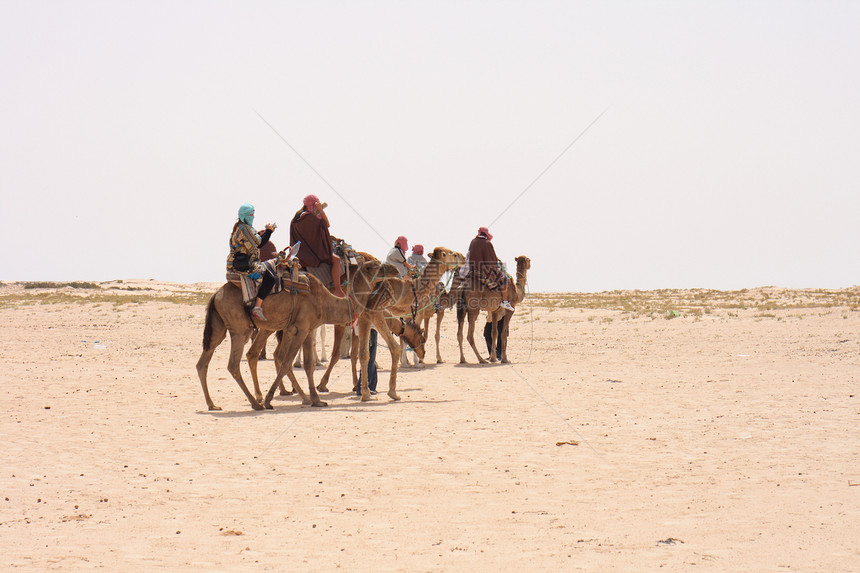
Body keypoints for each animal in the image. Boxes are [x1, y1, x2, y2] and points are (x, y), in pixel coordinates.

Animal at [197, 256, 394, 412]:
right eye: (376, 266)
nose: (394, 269)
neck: (324, 302)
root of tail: (215, 295)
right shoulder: (302, 328)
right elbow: (286, 363)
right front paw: (269, 400)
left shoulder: (307, 329)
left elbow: (308, 365)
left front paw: (316, 400)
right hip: (240, 329)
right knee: (234, 364)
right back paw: (256, 403)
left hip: (220, 327)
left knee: (203, 362)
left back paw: (212, 404)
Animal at [316, 247, 464, 402]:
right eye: (453, 254)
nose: (464, 257)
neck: (407, 289)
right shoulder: (374, 312)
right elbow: (392, 347)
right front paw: (392, 391)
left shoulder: (367, 317)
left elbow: (363, 353)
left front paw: (365, 391)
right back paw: (322, 382)